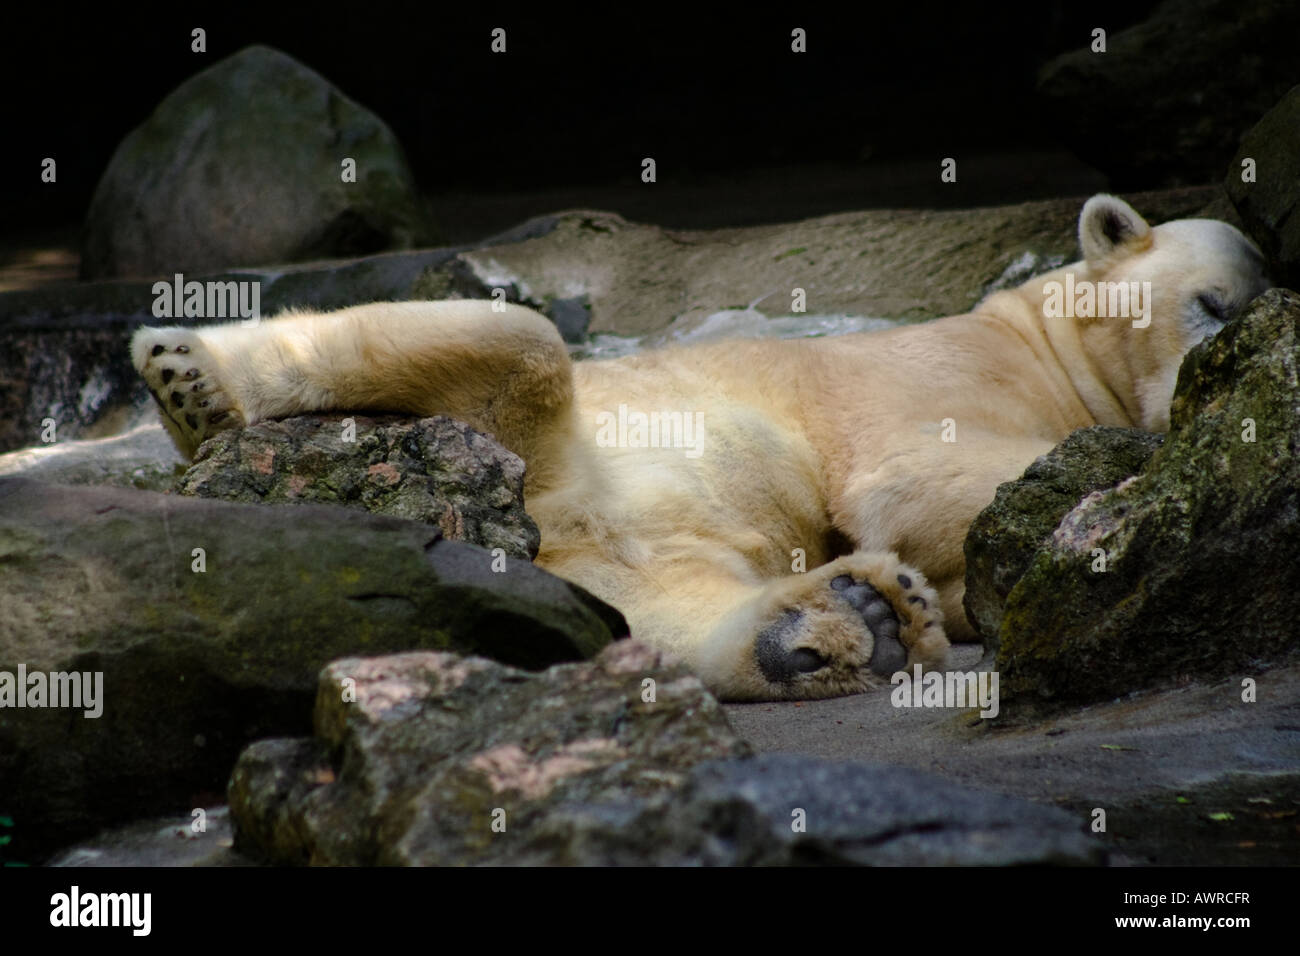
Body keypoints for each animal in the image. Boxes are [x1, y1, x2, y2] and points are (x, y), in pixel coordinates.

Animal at [131, 195, 1271, 701]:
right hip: (550, 421)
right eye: (1213, 302)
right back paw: (193, 377)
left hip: (618, 540)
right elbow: (917, 482)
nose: (1209, 378)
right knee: (511, 340)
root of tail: (537, 518)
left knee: (670, 610)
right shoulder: (937, 376)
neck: (1044, 339)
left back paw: (846, 621)